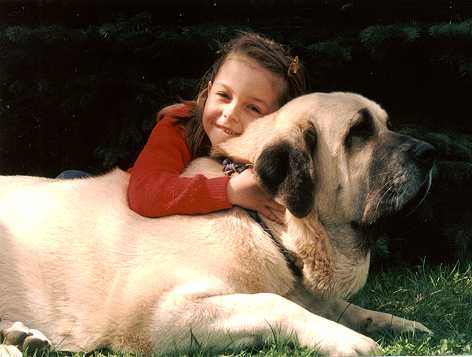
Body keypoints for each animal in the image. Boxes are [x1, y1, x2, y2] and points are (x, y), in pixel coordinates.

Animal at [0, 92, 436, 356]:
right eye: (358, 133)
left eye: (386, 124)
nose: (430, 152)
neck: (266, 226)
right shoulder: (157, 315)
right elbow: (273, 302)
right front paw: (349, 339)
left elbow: (342, 306)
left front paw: (399, 323)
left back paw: (21, 335)